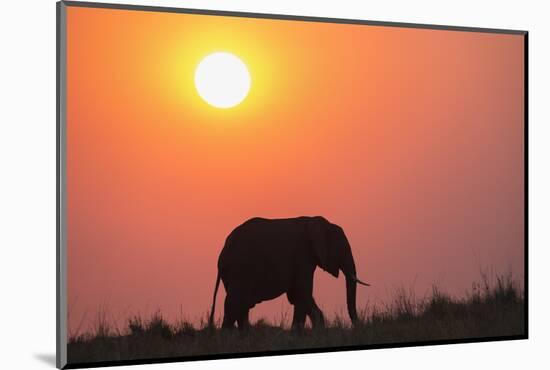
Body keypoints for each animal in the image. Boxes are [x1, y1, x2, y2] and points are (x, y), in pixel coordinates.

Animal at [208, 215, 370, 330]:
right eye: (341, 248)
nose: (358, 326)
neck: (316, 221)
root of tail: (223, 251)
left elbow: (297, 295)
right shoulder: (302, 256)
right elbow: (302, 292)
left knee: (242, 305)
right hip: (239, 269)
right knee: (234, 303)